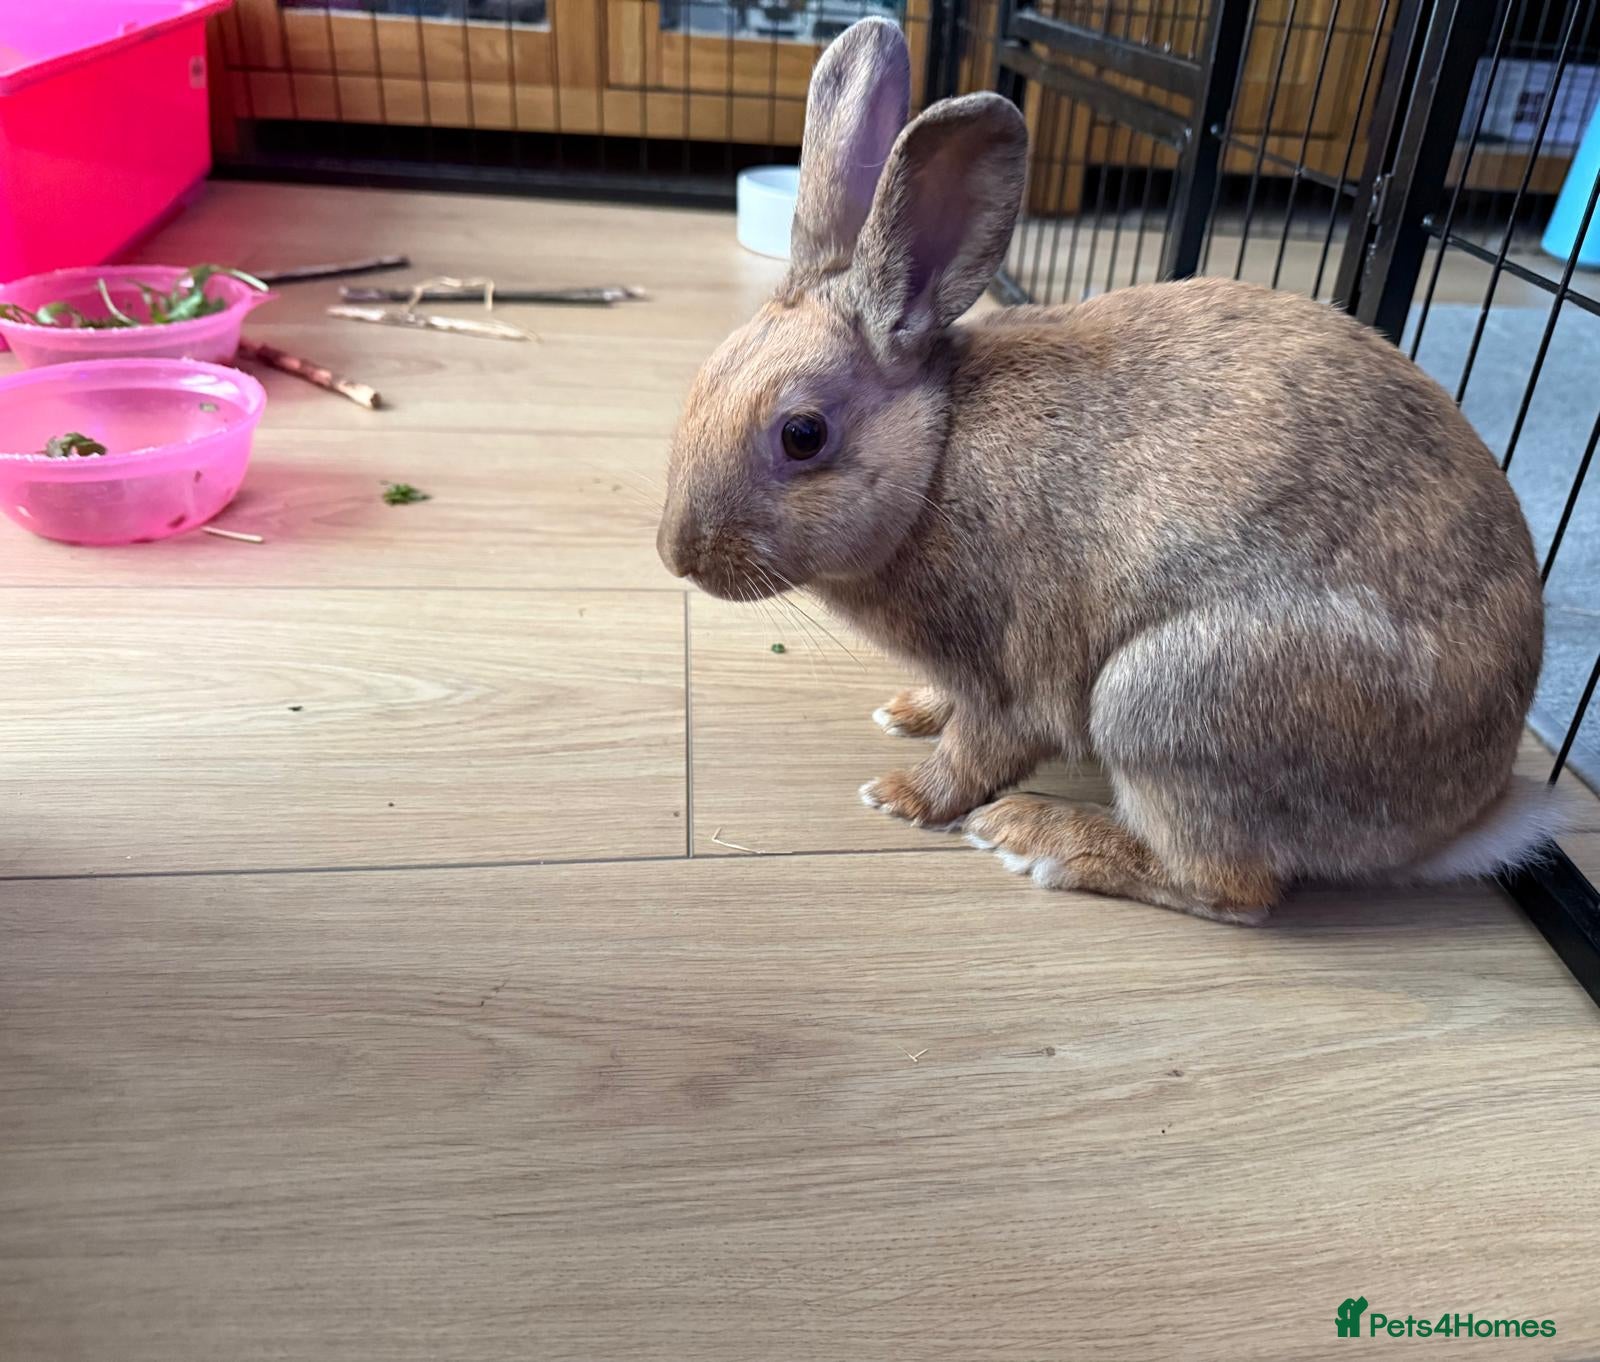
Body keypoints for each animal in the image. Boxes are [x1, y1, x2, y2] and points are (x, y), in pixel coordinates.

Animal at [657, 17, 1553, 923]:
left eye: (803, 435)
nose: (677, 554)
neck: (935, 454)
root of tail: (1455, 819)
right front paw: (910, 711)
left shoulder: (1011, 669)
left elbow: (980, 747)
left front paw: (906, 796)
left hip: (1165, 699)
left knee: (1231, 885)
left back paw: (1038, 838)